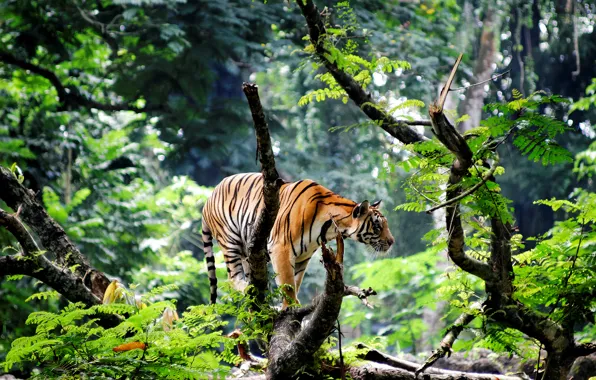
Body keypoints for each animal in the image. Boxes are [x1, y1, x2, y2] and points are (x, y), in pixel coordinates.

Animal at [201, 172, 396, 306]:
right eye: (378, 226)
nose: (392, 242)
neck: (331, 227)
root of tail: (208, 198)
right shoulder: (281, 247)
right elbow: (287, 283)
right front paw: (290, 307)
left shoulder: (303, 256)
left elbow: (295, 281)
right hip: (230, 241)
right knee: (233, 278)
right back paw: (250, 290)